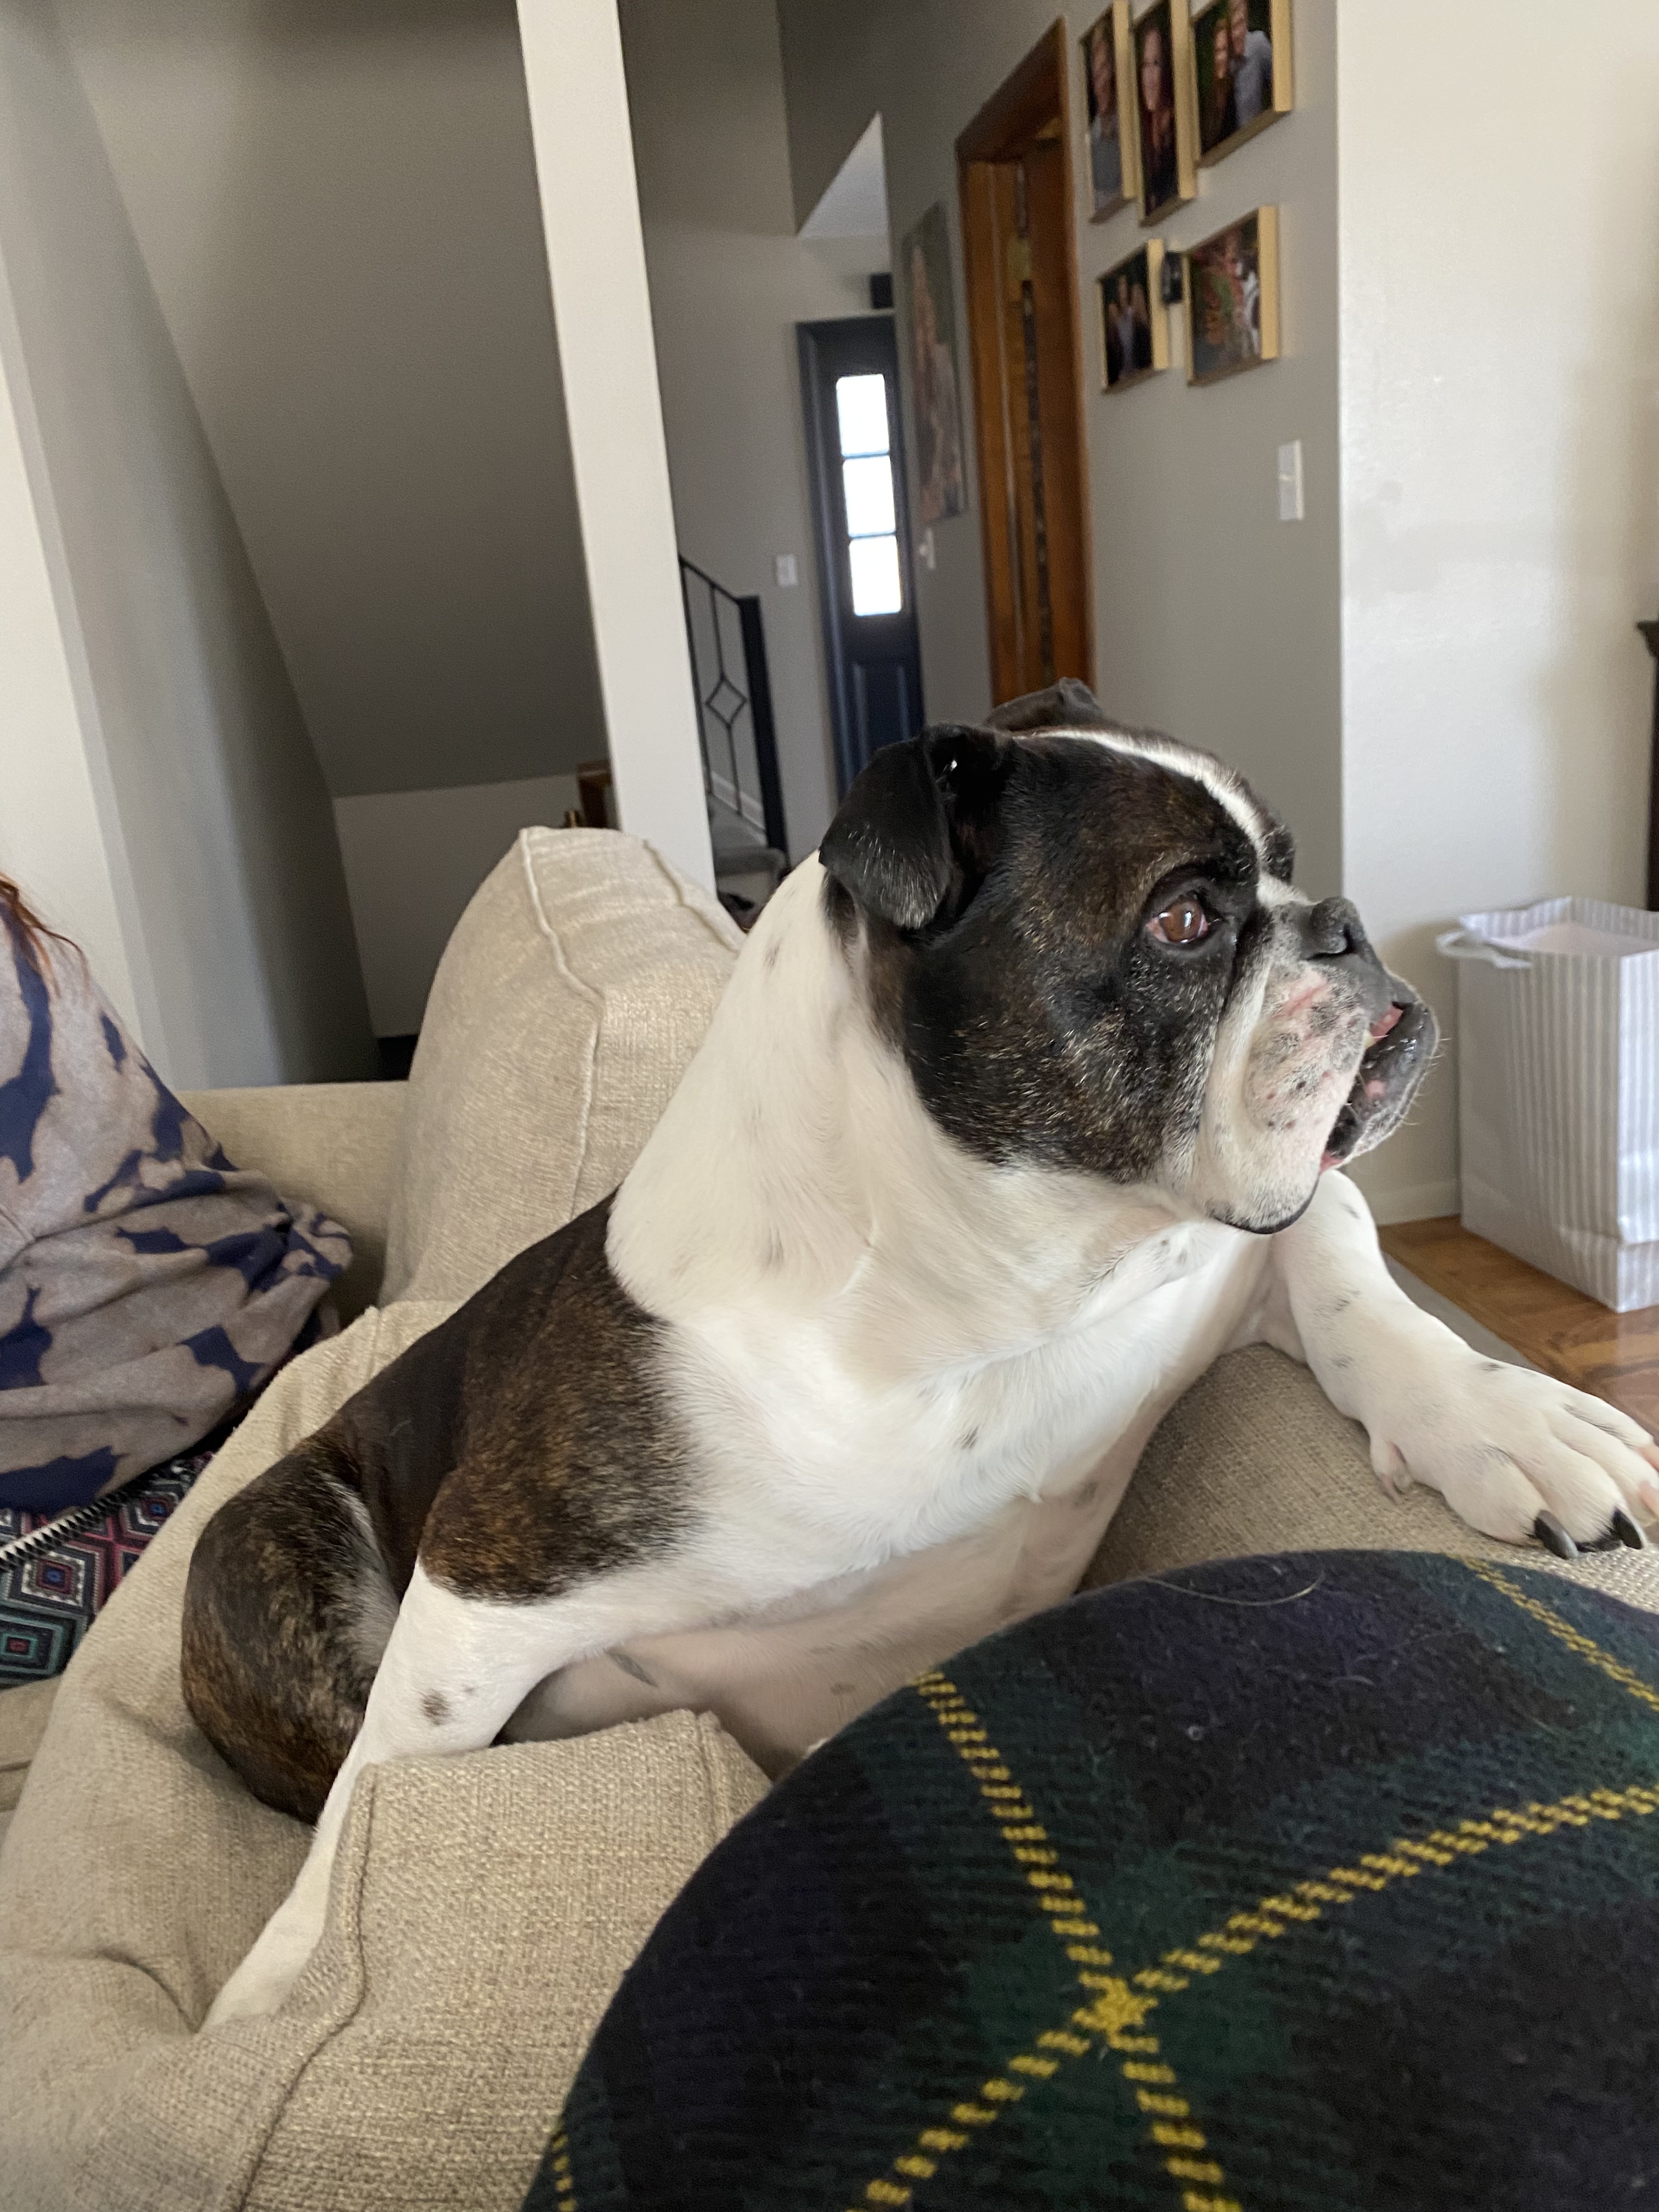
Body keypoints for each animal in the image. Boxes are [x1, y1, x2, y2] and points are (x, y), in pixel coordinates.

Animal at [185, 716, 1659, 2026]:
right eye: (1186, 922)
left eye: (1290, 865)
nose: (1343, 921)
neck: (983, 1298)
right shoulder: (492, 1580)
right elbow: (388, 1779)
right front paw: (288, 1973)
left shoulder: (1217, 1260)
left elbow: (1353, 1278)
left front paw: (1509, 1418)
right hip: (268, 1545)